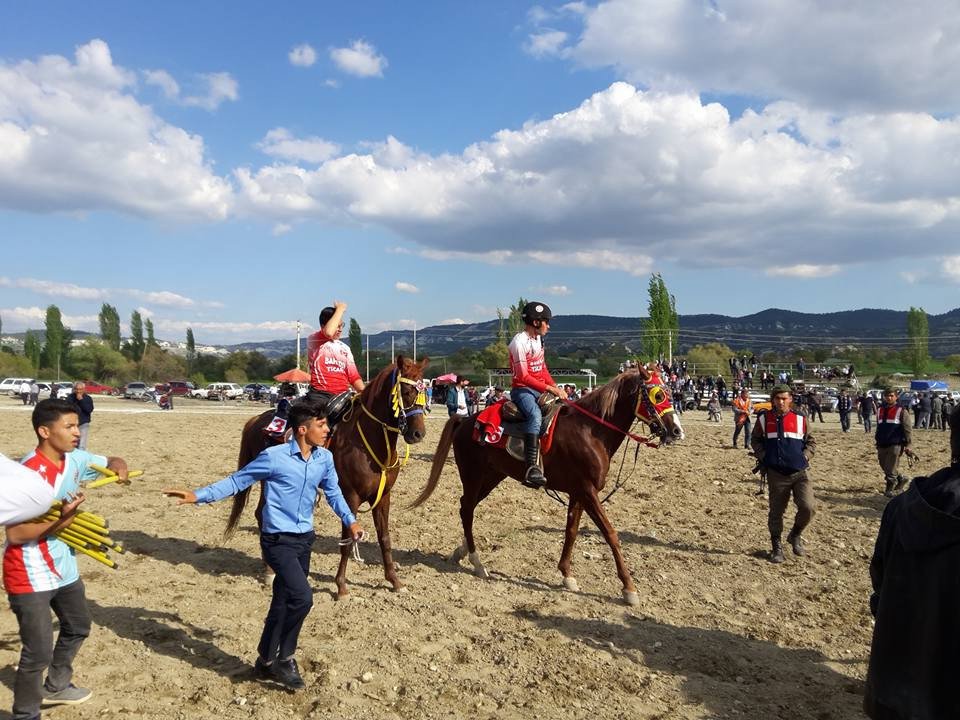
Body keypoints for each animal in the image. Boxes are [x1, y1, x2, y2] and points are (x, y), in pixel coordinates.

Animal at [225, 354, 428, 596]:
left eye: (425, 392)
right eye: (405, 392)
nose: (418, 434)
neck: (368, 442)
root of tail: (256, 420)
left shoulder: (383, 497)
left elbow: (384, 538)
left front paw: (395, 581)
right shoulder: (350, 496)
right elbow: (347, 540)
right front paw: (341, 586)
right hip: (267, 481)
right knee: (263, 516)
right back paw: (269, 571)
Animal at [412, 366, 684, 608]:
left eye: (670, 392)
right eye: (658, 395)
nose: (676, 431)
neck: (591, 431)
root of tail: (465, 420)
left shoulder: (578, 493)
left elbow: (571, 531)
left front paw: (566, 575)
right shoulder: (588, 492)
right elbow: (610, 534)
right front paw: (629, 588)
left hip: (491, 478)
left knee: (465, 508)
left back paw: (461, 552)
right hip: (473, 475)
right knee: (467, 510)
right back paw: (477, 562)